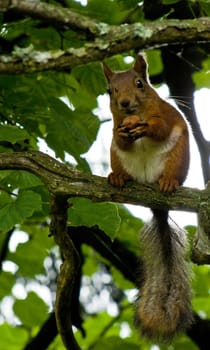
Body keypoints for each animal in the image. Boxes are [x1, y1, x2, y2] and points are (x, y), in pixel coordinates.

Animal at [102, 53, 194, 344]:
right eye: (111, 90)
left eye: (139, 84)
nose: (124, 103)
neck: (136, 113)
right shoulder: (116, 129)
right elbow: (120, 137)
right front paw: (124, 132)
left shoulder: (164, 114)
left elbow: (160, 128)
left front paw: (144, 127)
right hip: (116, 158)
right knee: (120, 162)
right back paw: (117, 178)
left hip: (177, 157)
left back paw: (167, 182)